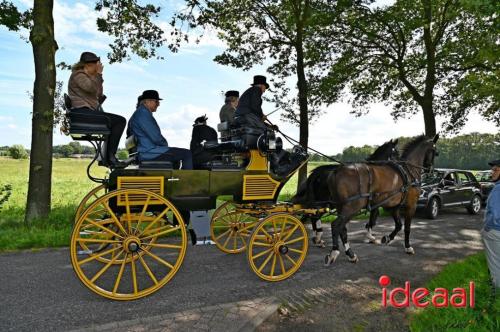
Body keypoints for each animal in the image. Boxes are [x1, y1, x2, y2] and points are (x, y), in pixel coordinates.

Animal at [320, 134, 438, 266]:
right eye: (435, 152)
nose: (430, 169)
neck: (409, 172)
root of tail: (336, 171)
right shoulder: (411, 205)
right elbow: (407, 227)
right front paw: (408, 247)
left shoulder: (393, 206)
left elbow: (398, 225)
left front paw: (387, 238)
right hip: (352, 207)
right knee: (336, 225)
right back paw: (334, 252)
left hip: (342, 207)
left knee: (342, 229)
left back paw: (351, 254)